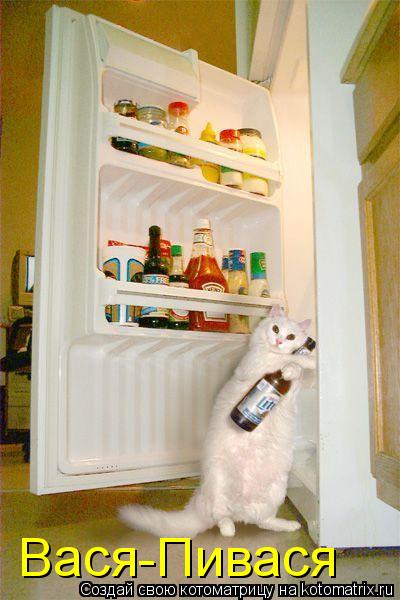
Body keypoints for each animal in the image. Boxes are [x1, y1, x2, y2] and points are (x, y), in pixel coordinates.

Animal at [118, 305, 316, 538]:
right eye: (275, 328)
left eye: (291, 336)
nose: (278, 341)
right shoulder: (258, 364)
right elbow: (285, 360)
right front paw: (305, 361)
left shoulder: (294, 387)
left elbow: (296, 369)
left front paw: (298, 365)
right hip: (218, 481)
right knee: (220, 515)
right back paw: (229, 530)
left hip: (275, 492)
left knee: (262, 521)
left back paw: (288, 525)